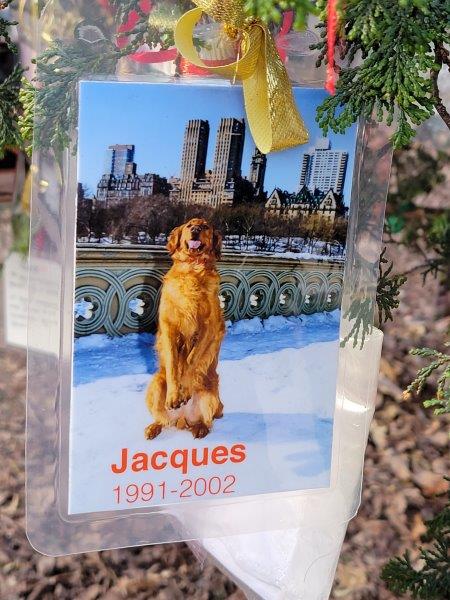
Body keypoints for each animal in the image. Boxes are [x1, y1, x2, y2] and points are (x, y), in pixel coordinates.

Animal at [145, 218, 225, 438]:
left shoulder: (209, 328)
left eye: (205, 227)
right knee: (163, 420)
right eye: (189, 226)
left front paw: (185, 390)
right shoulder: (169, 328)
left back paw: (200, 428)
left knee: (207, 420)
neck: (192, 269)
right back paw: (154, 427)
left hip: (210, 394)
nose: (196, 230)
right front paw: (174, 396)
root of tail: (182, 419)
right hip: (155, 384)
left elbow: (191, 360)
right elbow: (174, 364)